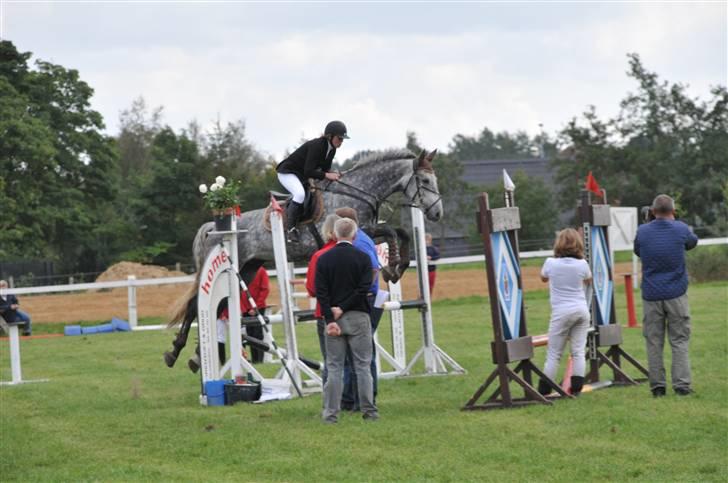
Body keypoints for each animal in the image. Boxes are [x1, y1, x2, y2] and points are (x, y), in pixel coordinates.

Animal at [165, 149, 440, 368]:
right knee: (196, 307)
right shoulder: (360, 229)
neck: (360, 191)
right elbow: (392, 231)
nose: (437, 213)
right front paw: (392, 268)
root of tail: (214, 227)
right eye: (425, 180)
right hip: (234, 265)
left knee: (219, 308)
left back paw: (196, 356)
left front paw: (398, 267)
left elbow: (402, 232)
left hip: (248, 269)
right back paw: (177, 353)